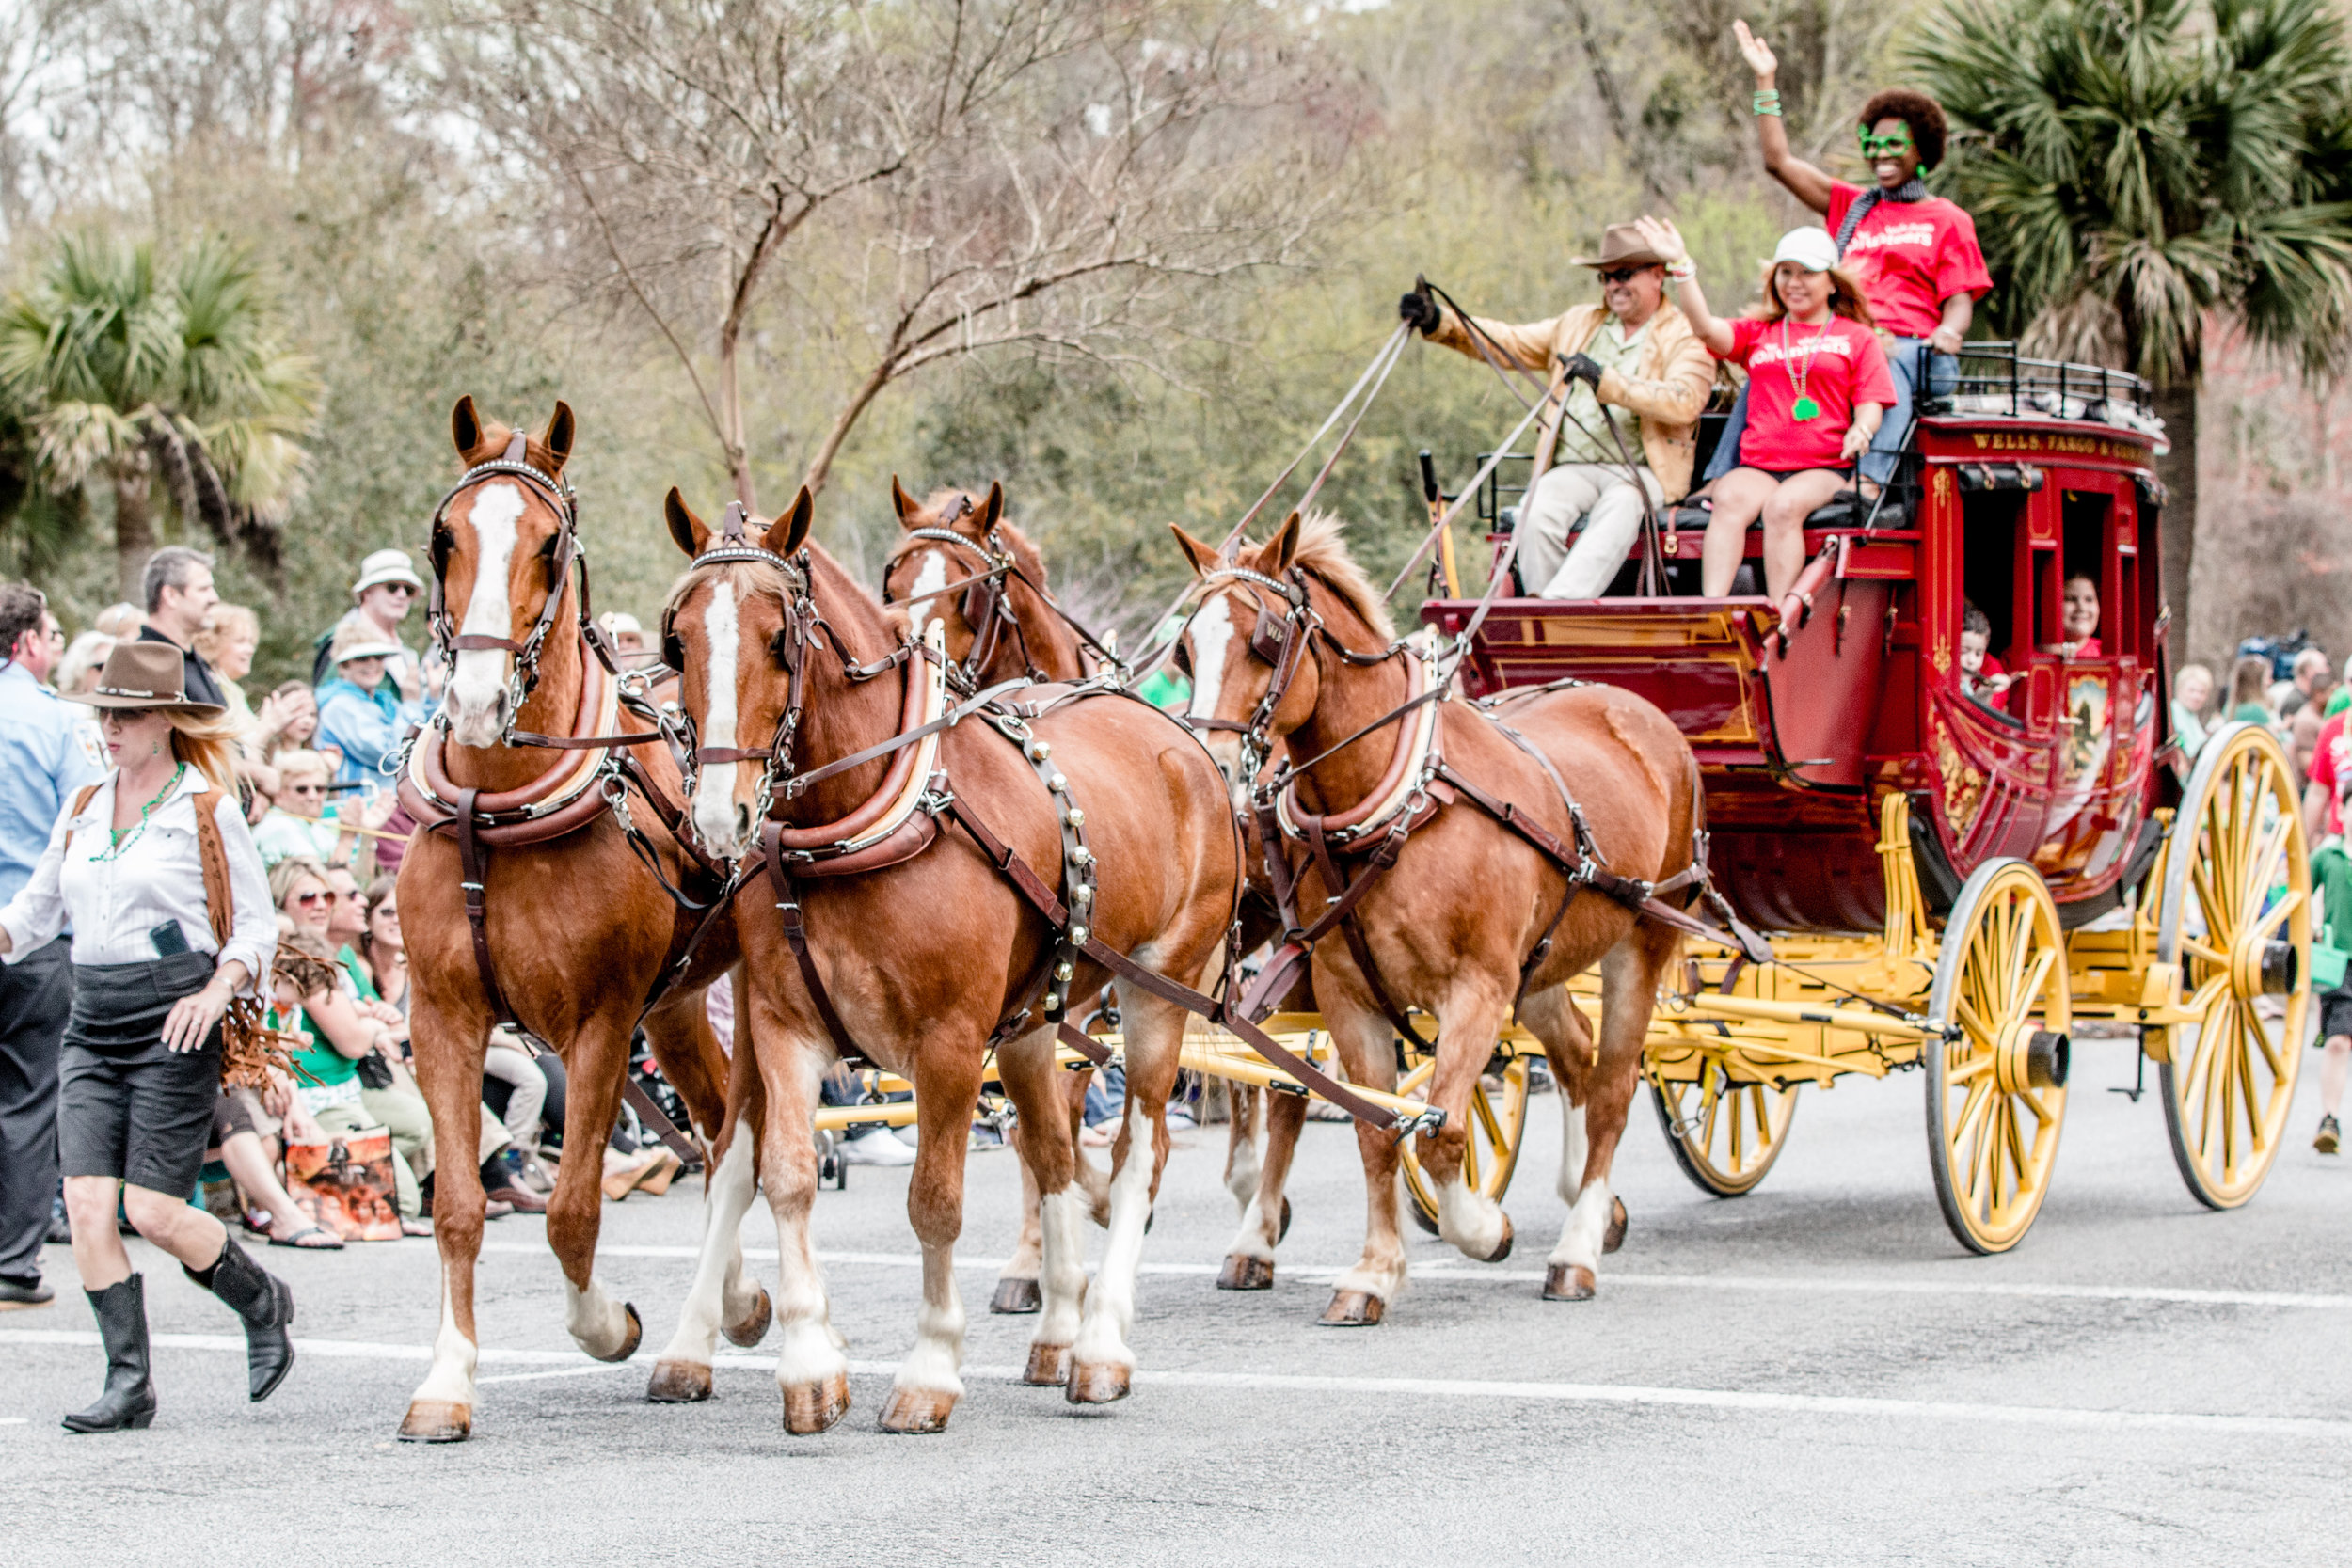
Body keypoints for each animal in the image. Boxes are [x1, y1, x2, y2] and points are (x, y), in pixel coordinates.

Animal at [395, 399, 757, 1438]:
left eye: (549, 544)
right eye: (445, 537)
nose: (476, 700)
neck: (496, 814)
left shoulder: (597, 1023)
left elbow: (570, 1211)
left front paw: (606, 1324)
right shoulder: (443, 1016)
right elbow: (459, 1205)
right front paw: (447, 1377)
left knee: (746, 1140)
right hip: (676, 1005)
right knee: (715, 1134)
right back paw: (736, 1301)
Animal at [673, 491, 1242, 1438]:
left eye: (779, 638)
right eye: (677, 640)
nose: (720, 816)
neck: (868, 813)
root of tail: (1181, 734)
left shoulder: (946, 1043)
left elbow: (935, 1200)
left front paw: (931, 1368)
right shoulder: (782, 1025)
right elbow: (783, 1175)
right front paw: (809, 1366)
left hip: (1160, 989)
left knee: (1139, 1154)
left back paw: (1100, 1346)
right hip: (1035, 1017)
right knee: (1050, 1149)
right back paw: (1057, 1331)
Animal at [1171, 512, 1693, 1316]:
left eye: (1264, 639)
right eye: (1185, 646)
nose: (1211, 767)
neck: (1397, 804)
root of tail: (1636, 708)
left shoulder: (1477, 989)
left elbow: (1439, 1133)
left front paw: (1481, 1227)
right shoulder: (1347, 993)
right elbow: (1374, 1130)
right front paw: (1375, 1271)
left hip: (1643, 938)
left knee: (1612, 1086)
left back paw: (1576, 1247)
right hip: (1541, 962)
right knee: (1574, 1052)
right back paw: (1590, 1202)